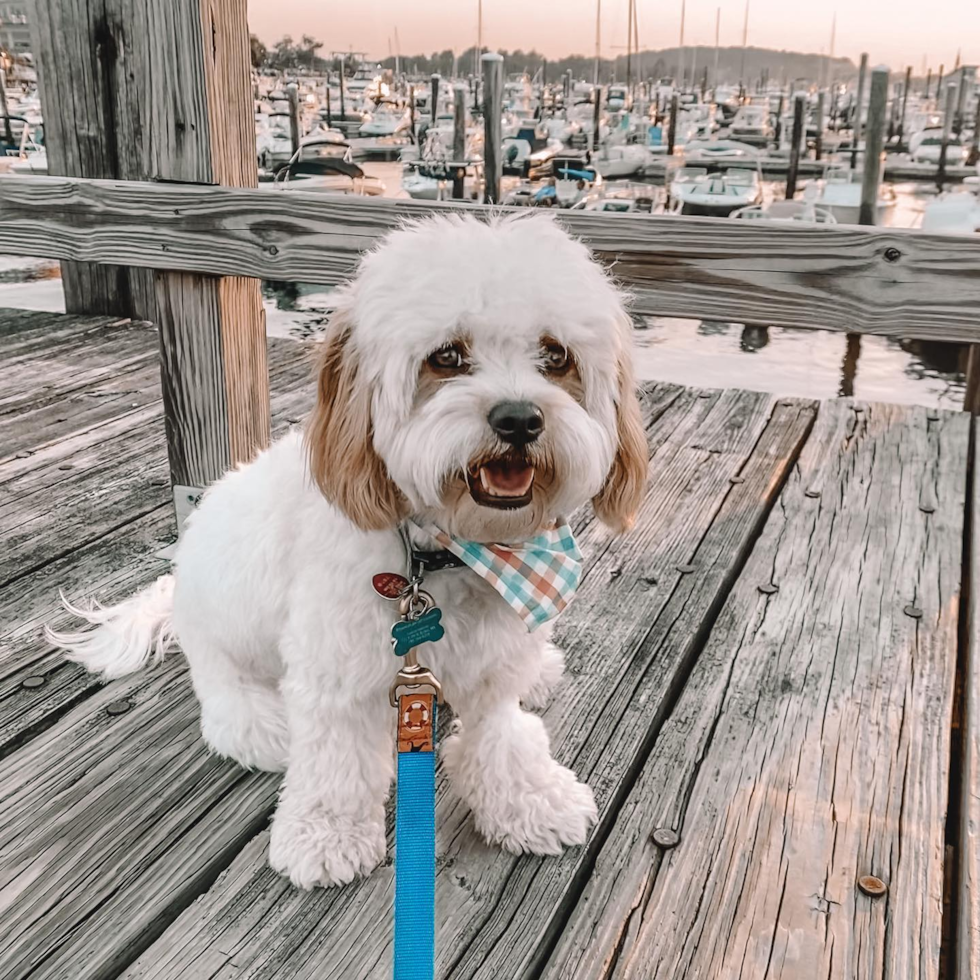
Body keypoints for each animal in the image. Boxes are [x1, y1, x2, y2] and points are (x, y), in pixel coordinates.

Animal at [49, 212, 648, 888]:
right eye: (446, 356)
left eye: (556, 355)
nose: (519, 419)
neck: (448, 553)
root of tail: (177, 589)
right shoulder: (336, 669)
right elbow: (338, 763)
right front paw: (325, 835)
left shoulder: (495, 662)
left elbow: (499, 734)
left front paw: (531, 799)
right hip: (231, 663)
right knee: (236, 714)